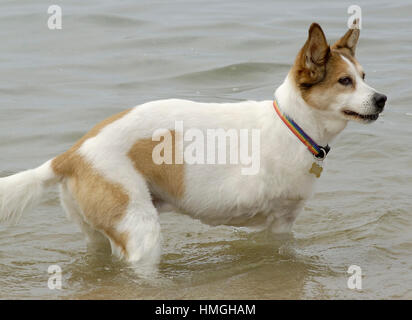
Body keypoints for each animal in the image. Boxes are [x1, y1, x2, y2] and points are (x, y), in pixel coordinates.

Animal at [0, 22, 386, 264]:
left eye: (364, 76)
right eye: (345, 81)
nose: (382, 99)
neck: (293, 124)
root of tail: (72, 153)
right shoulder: (278, 225)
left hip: (95, 235)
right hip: (140, 232)